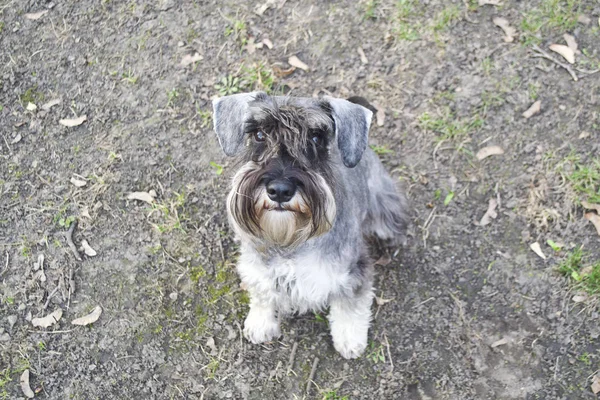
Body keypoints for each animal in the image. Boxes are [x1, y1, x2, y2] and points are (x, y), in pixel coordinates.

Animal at [212, 91, 408, 360]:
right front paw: (260, 322)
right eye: (259, 134)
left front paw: (350, 339)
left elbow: (350, 306)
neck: (290, 241)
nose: (280, 190)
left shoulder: (351, 271)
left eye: (316, 137)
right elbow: (262, 292)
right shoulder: (259, 266)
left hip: (383, 208)